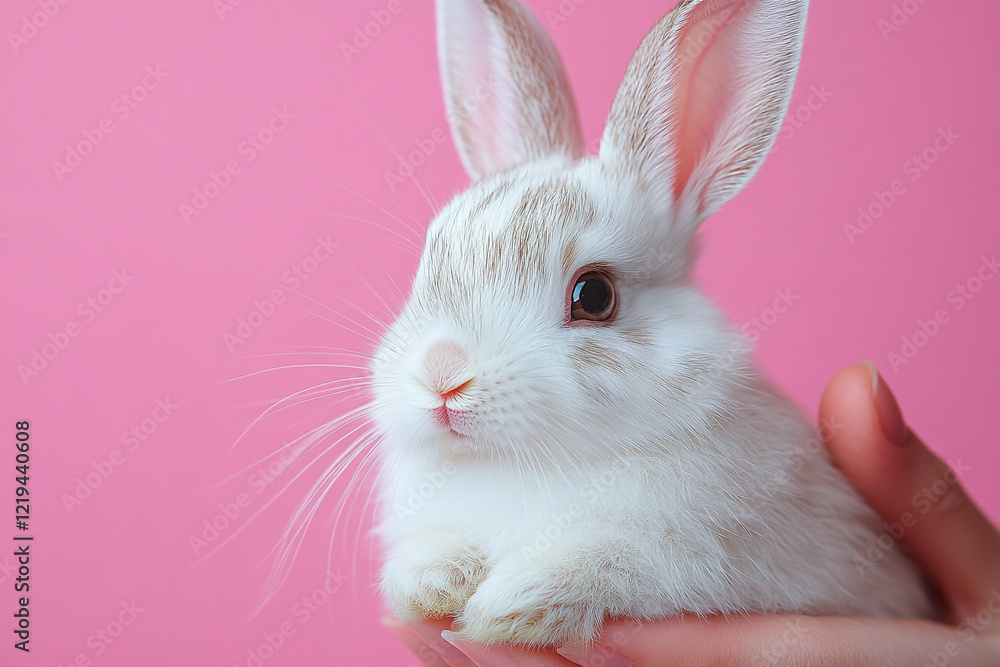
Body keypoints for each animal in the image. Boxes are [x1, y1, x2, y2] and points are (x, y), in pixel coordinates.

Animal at [369, 0, 934, 647]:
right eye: (430, 257)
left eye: (594, 295)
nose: (442, 375)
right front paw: (434, 583)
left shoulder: (693, 556)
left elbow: (615, 560)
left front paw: (512, 605)